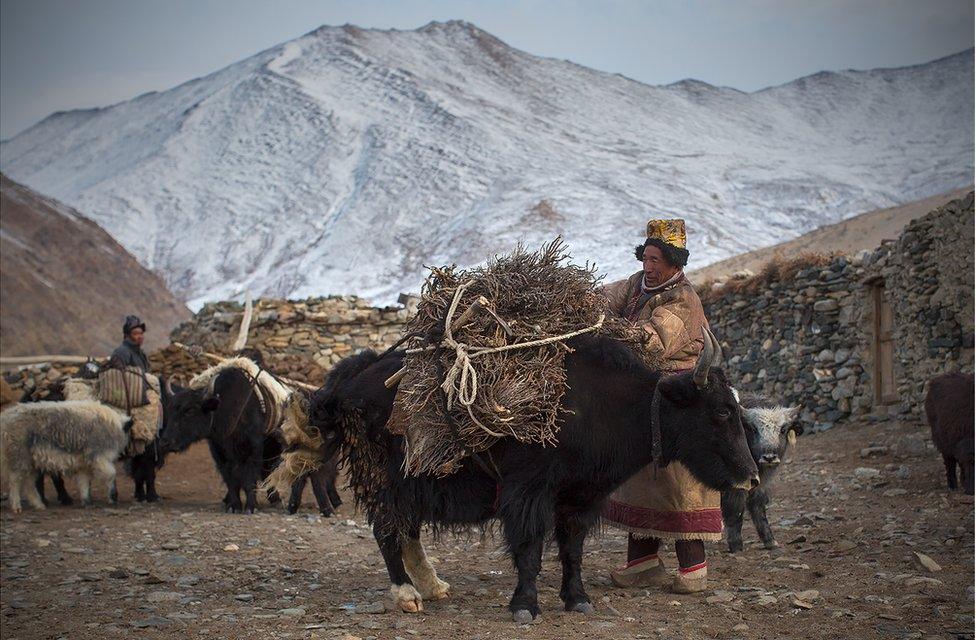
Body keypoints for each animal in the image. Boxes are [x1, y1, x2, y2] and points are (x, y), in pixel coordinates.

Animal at [0, 402, 132, 512]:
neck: (115, 426)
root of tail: (5, 418)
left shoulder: (83, 464)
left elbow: (84, 482)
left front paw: (87, 503)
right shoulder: (99, 457)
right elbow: (112, 474)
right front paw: (112, 499)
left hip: (31, 463)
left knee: (29, 482)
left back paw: (40, 506)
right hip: (18, 456)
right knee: (15, 481)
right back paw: (17, 508)